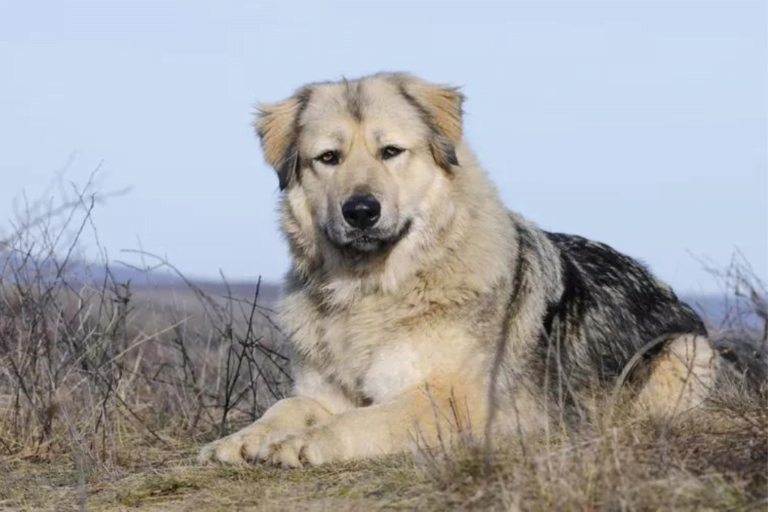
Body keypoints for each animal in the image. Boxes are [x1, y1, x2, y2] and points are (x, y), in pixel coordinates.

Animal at [200, 72, 720, 468]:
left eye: (390, 152)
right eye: (328, 158)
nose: (361, 211)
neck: (370, 293)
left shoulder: (451, 402)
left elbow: (361, 419)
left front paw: (303, 443)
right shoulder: (323, 391)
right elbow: (288, 405)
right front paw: (240, 438)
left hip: (688, 352)